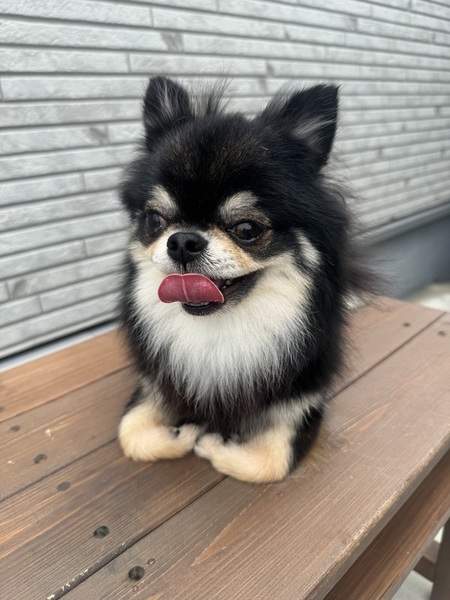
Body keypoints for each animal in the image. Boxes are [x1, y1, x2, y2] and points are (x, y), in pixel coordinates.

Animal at [117, 76, 371, 483]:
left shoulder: (302, 401)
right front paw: (184, 431)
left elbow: (272, 462)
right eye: (155, 220)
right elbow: (130, 433)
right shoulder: (154, 383)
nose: (182, 241)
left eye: (247, 229)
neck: (221, 332)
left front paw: (211, 442)